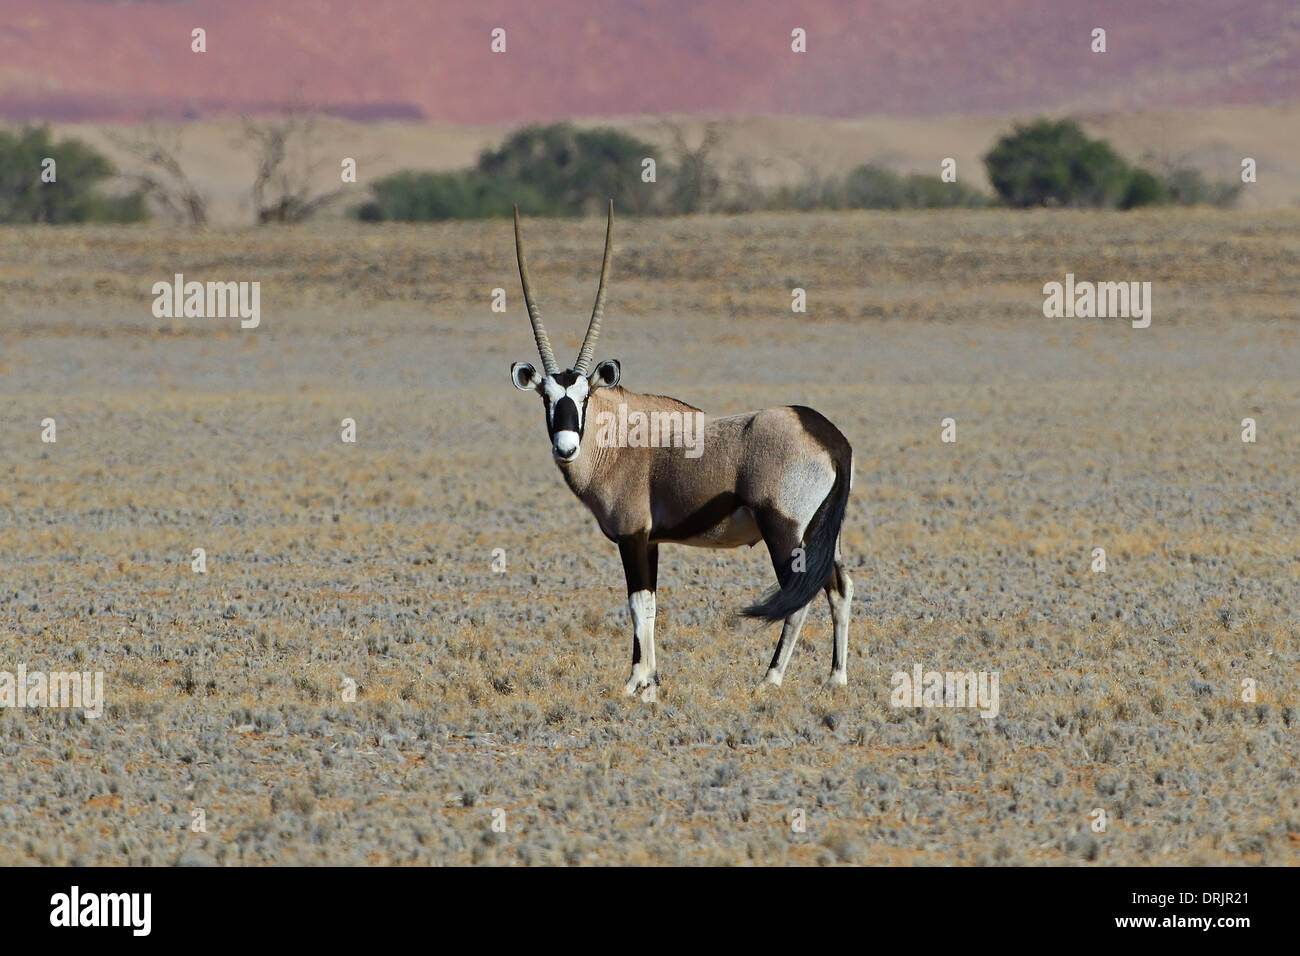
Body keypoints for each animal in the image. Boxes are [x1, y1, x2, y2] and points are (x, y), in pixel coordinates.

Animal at [506, 204, 852, 697]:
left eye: (585, 397)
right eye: (547, 398)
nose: (566, 446)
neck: (617, 438)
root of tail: (828, 437)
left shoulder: (632, 536)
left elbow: (636, 604)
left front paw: (635, 682)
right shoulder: (649, 540)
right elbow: (650, 606)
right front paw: (650, 683)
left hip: (786, 532)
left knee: (798, 597)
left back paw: (769, 679)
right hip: (826, 532)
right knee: (839, 586)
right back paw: (836, 678)